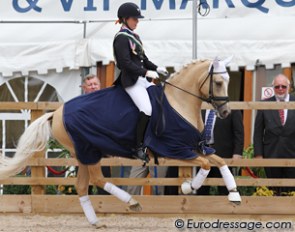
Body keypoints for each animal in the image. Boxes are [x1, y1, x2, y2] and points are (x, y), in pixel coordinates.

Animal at [0, 57, 240, 227]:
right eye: (218, 82)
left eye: (228, 81)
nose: (226, 112)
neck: (177, 103)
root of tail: (56, 113)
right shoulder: (176, 150)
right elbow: (207, 165)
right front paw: (189, 186)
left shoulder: (195, 148)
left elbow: (220, 162)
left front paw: (234, 195)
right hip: (89, 150)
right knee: (97, 179)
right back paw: (132, 202)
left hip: (82, 154)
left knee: (82, 185)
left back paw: (95, 222)